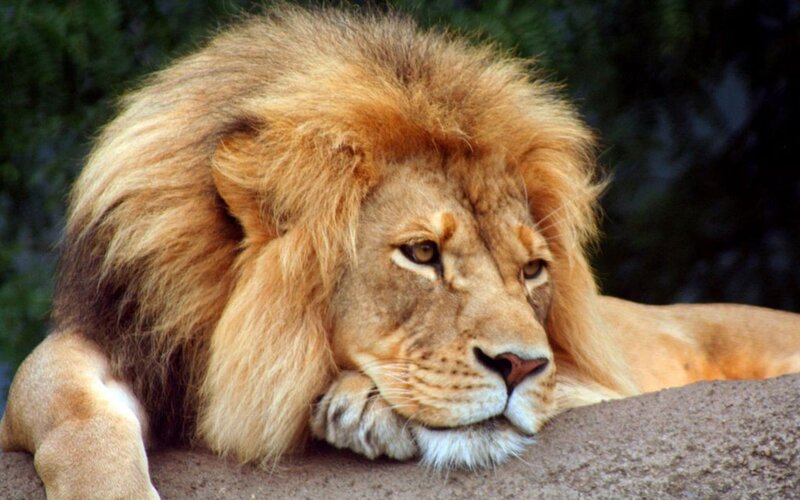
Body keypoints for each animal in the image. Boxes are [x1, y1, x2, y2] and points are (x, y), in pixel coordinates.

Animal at [1, 6, 799, 498]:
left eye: (533, 270)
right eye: (420, 253)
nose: (520, 366)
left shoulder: (598, 381)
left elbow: (572, 388)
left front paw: (358, 405)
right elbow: (62, 402)